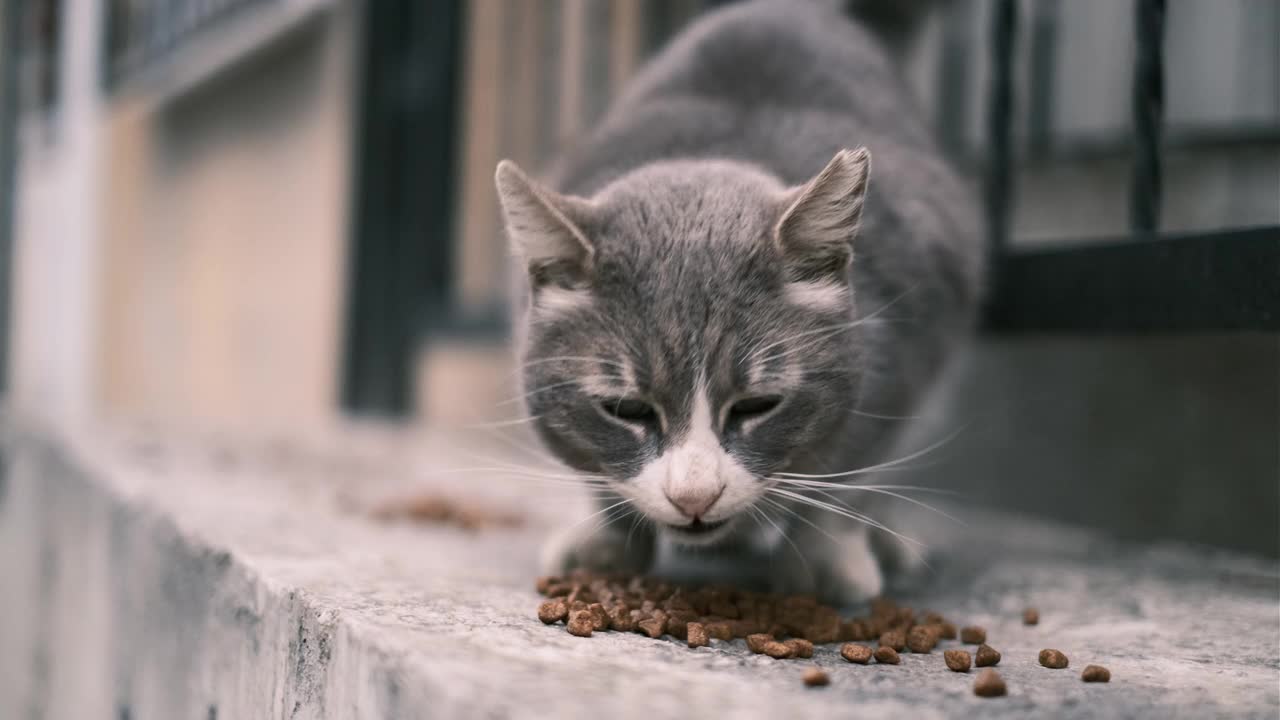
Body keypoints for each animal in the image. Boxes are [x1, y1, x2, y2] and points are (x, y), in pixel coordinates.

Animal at [494, 0, 983, 604]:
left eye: (757, 405)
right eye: (626, 409)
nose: (694, 498)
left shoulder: (910, 344)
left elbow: (851, 469)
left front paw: (825, 560)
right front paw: (605, 543)